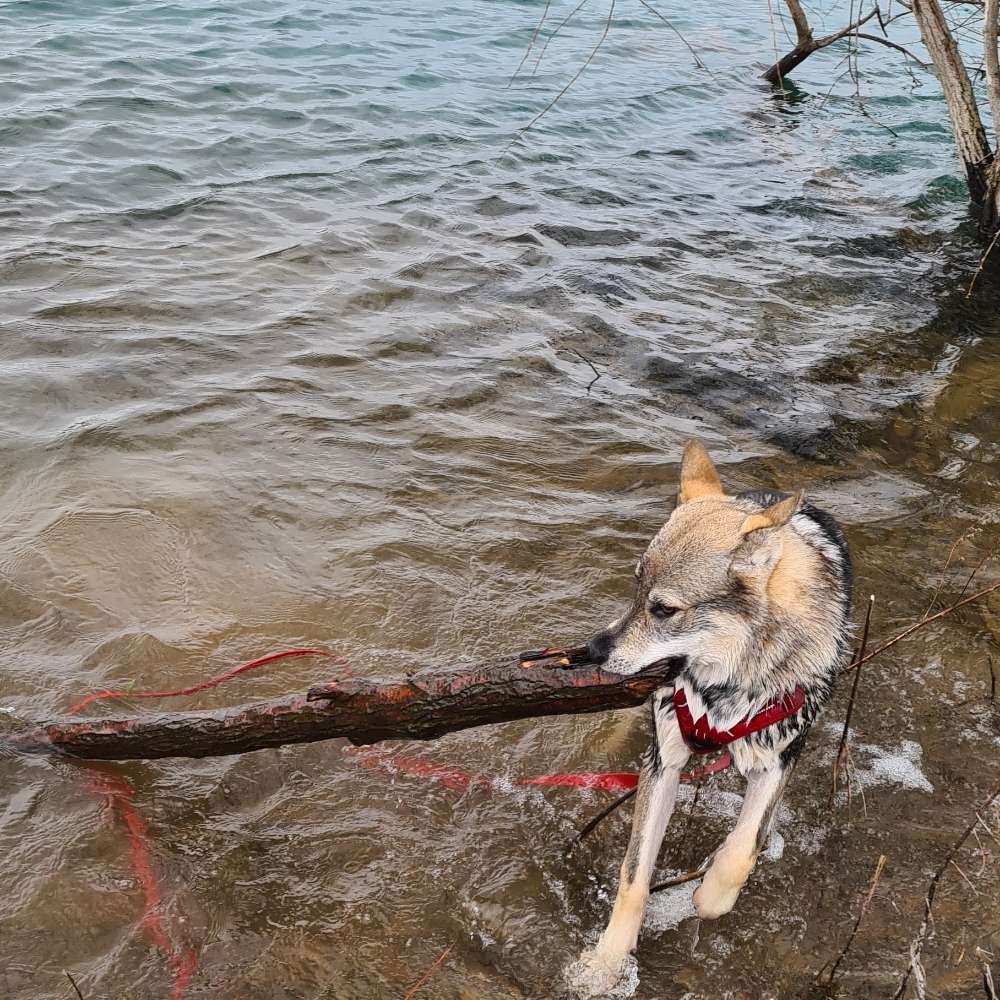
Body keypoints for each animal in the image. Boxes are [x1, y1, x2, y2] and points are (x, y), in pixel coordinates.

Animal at [564, 442, 852, 996]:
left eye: (663, 609)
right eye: (635, 590)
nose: (591, 651)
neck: (727, 685)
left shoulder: (779, 759)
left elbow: (742, 850)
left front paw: (710, 895)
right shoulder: (664, 763)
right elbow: (633, 877)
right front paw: (607, 963)